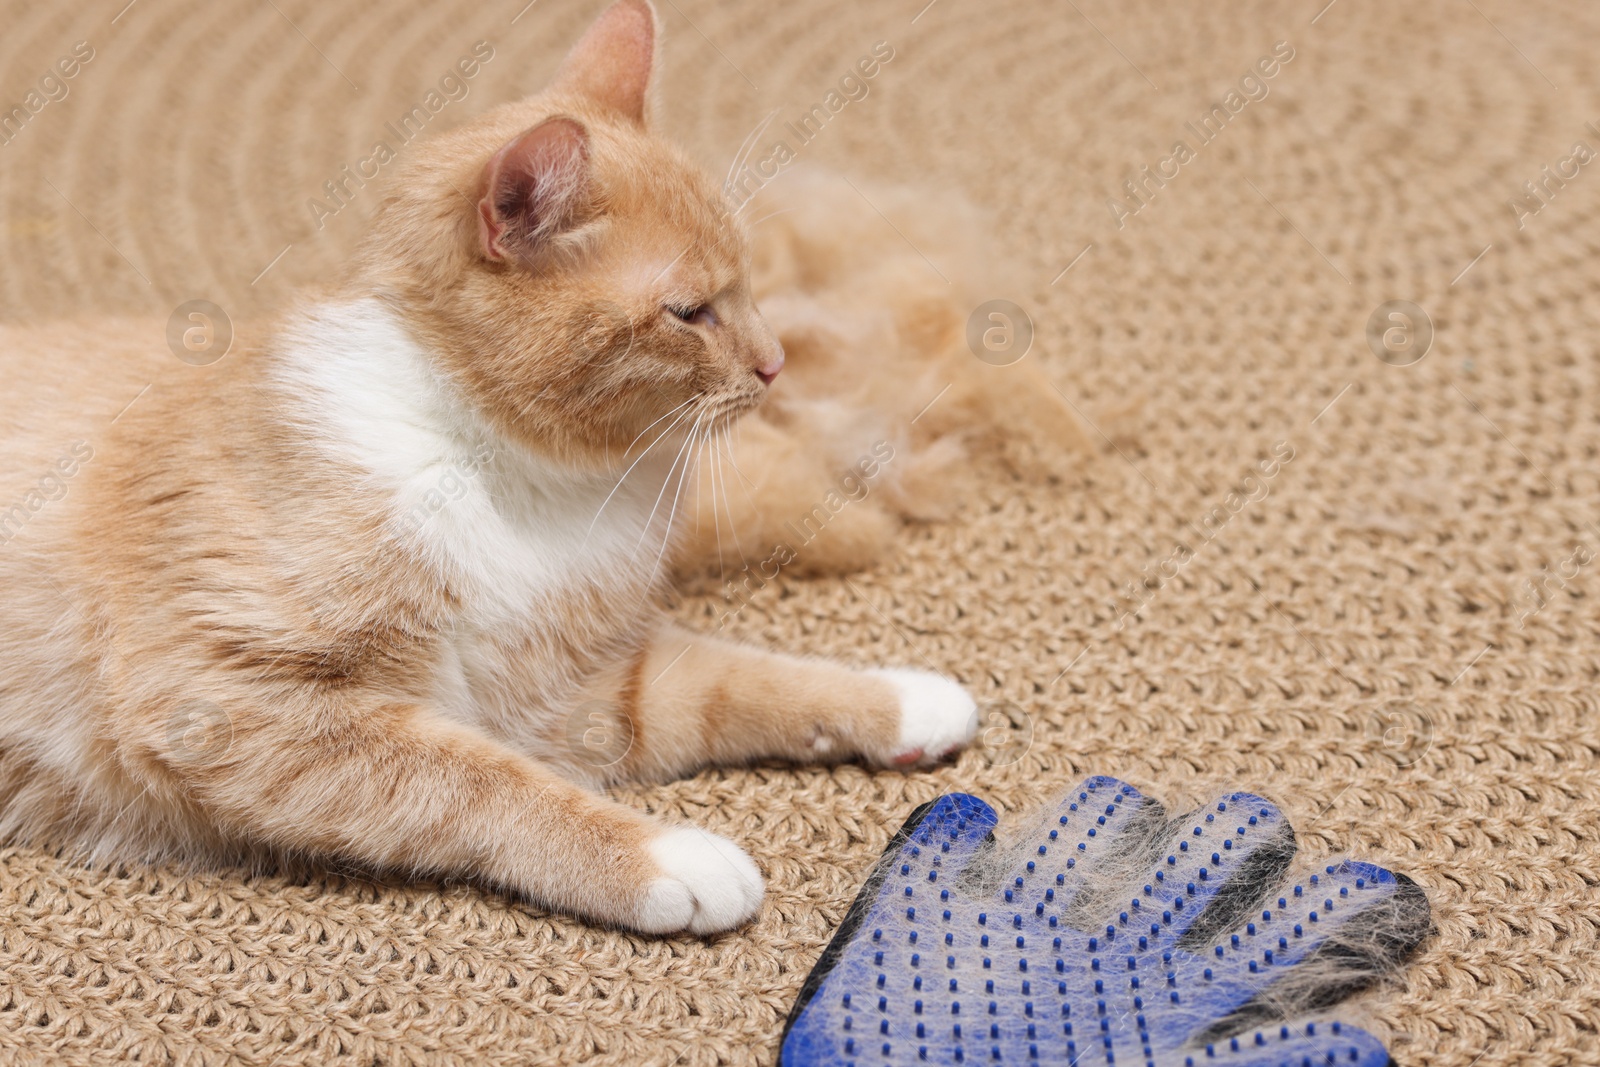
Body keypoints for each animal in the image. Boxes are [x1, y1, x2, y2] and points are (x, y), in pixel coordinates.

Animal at [0, 0, 972, 934]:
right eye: (690, 312)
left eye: (747, 285)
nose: (776, 365)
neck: (506, 472)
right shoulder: (229, 701)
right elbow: (480, 781)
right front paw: (665, 859)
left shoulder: (583, 692)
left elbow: (748, 681)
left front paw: (908, 699)